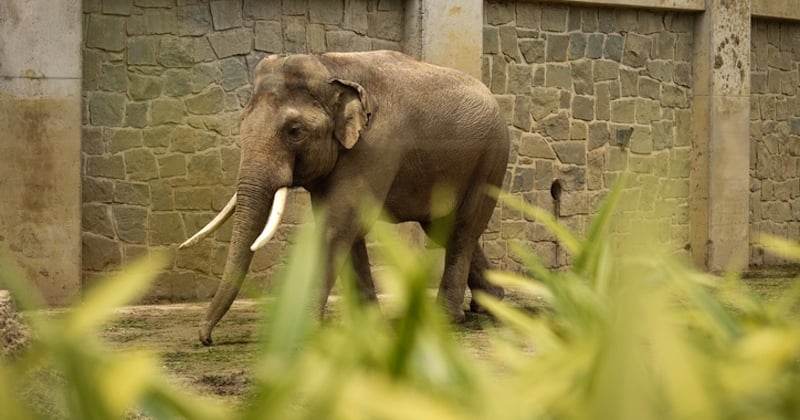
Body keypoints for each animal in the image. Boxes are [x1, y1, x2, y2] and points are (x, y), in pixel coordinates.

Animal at [179, 50, 510, 344]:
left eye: (294, 130)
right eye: (241, 124)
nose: (206, 339)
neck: (330, 66)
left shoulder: (376, 146)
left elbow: (339, 225)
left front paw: (301, 329)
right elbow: (347, 226)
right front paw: (366, 323)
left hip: (491, 159)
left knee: (463, 229)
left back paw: (447, 318)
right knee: (443, 228)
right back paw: (490, 304)